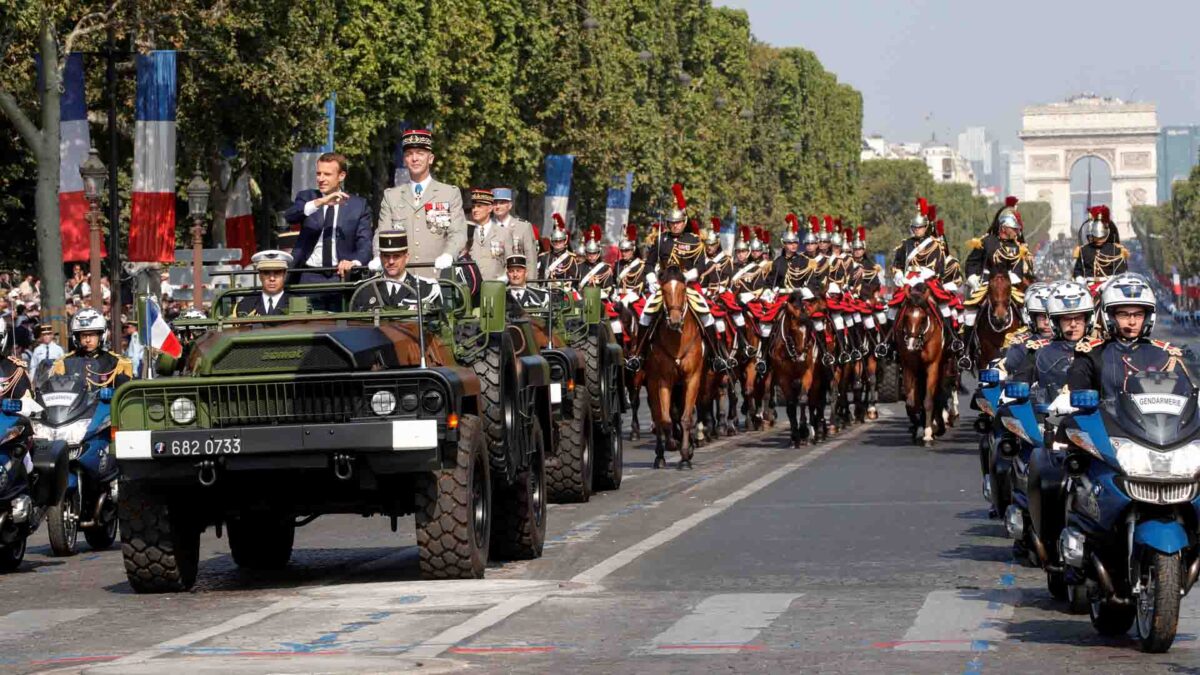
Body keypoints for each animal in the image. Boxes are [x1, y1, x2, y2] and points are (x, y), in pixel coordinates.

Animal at [648, 266, 700, 468]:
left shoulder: (693, 378)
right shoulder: (664, 380)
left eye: (684, 289)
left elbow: (686, 418)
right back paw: (660, 455)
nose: (675, 321)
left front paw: (686, 455)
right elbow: (666, 419)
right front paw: (672, 444)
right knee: (658, 416)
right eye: (663, 291)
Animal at [897, 281, 950, 444]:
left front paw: (928, 432)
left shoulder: (933, 366)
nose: (911, 345)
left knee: (938, 394)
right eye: (906, 316)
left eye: (923, 317)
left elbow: (928, 400)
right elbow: (912, 403)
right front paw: (918, 427)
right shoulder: (909, 366)